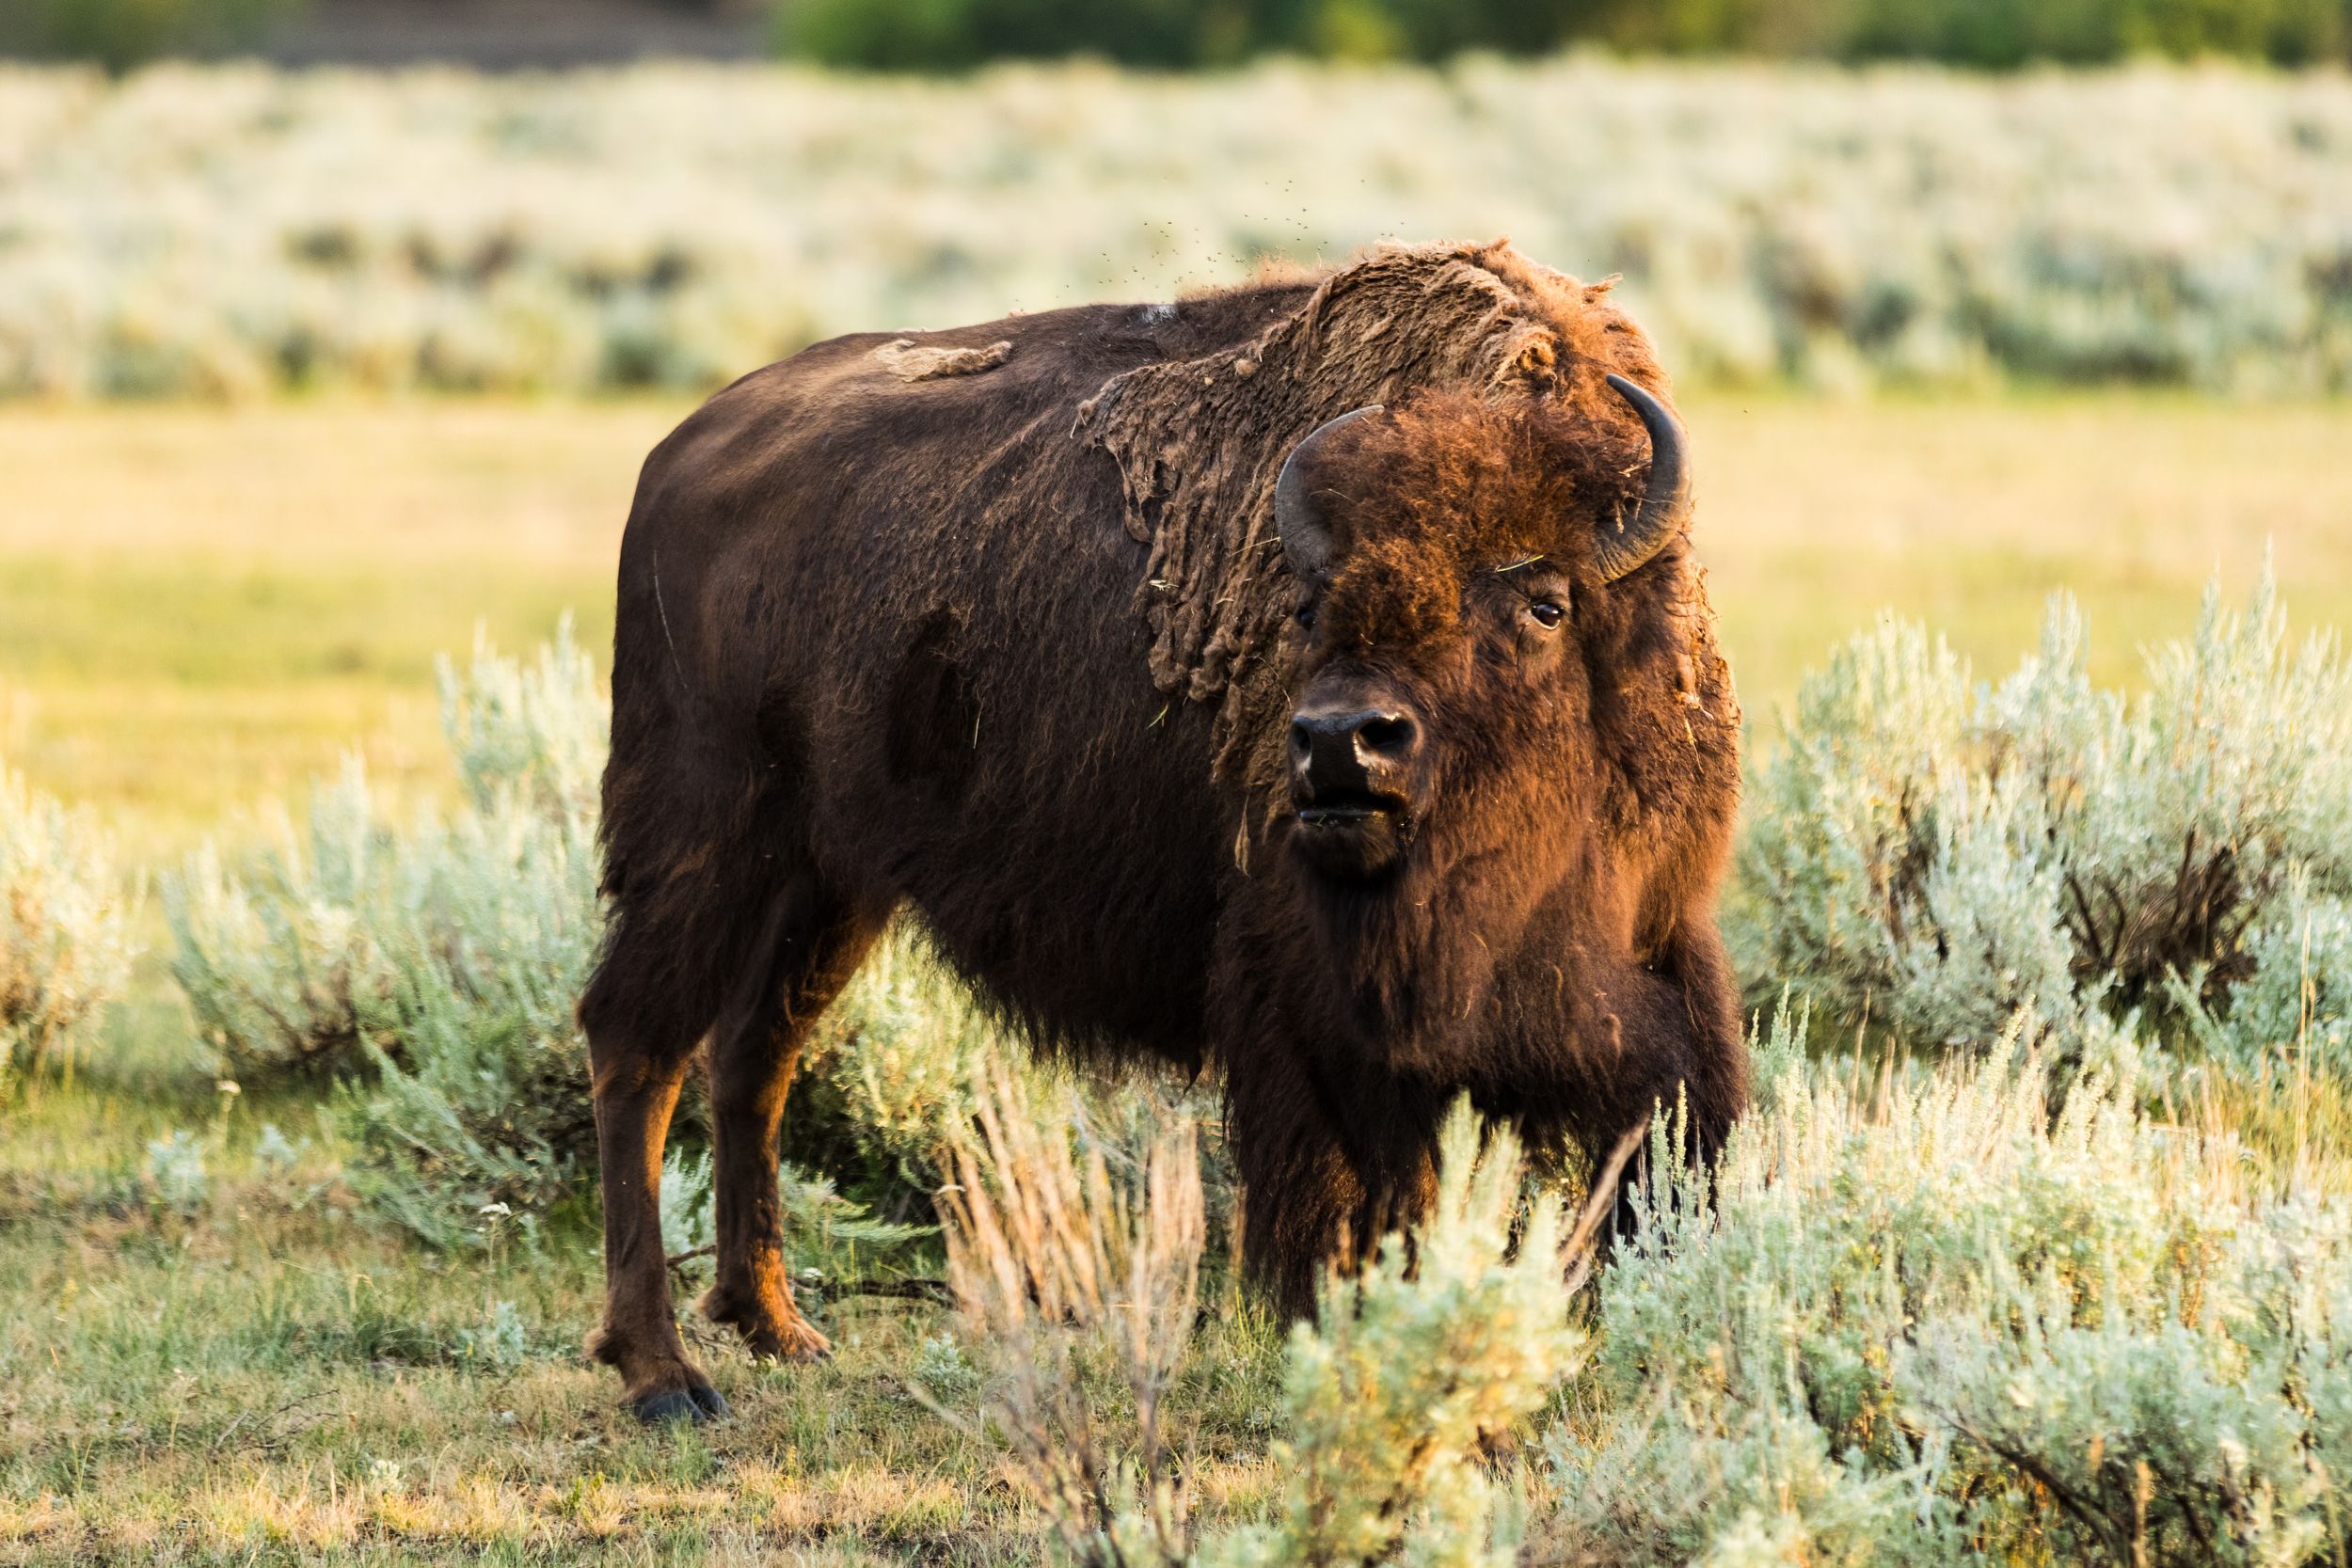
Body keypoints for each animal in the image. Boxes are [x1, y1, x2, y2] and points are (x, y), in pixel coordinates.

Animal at [579, 240, 1746, 1422]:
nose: (1342, 746)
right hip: (704, 837)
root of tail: (674, 456)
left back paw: (777, 1326)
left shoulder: (1656, 947)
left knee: (753, 1055)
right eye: (1310, 609)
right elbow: (1371, 1197)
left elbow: (1668, 1129)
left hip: (825, 880)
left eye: (1544, 602)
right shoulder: (1317, 1004)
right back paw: (662, 1371)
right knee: (638, 1043)